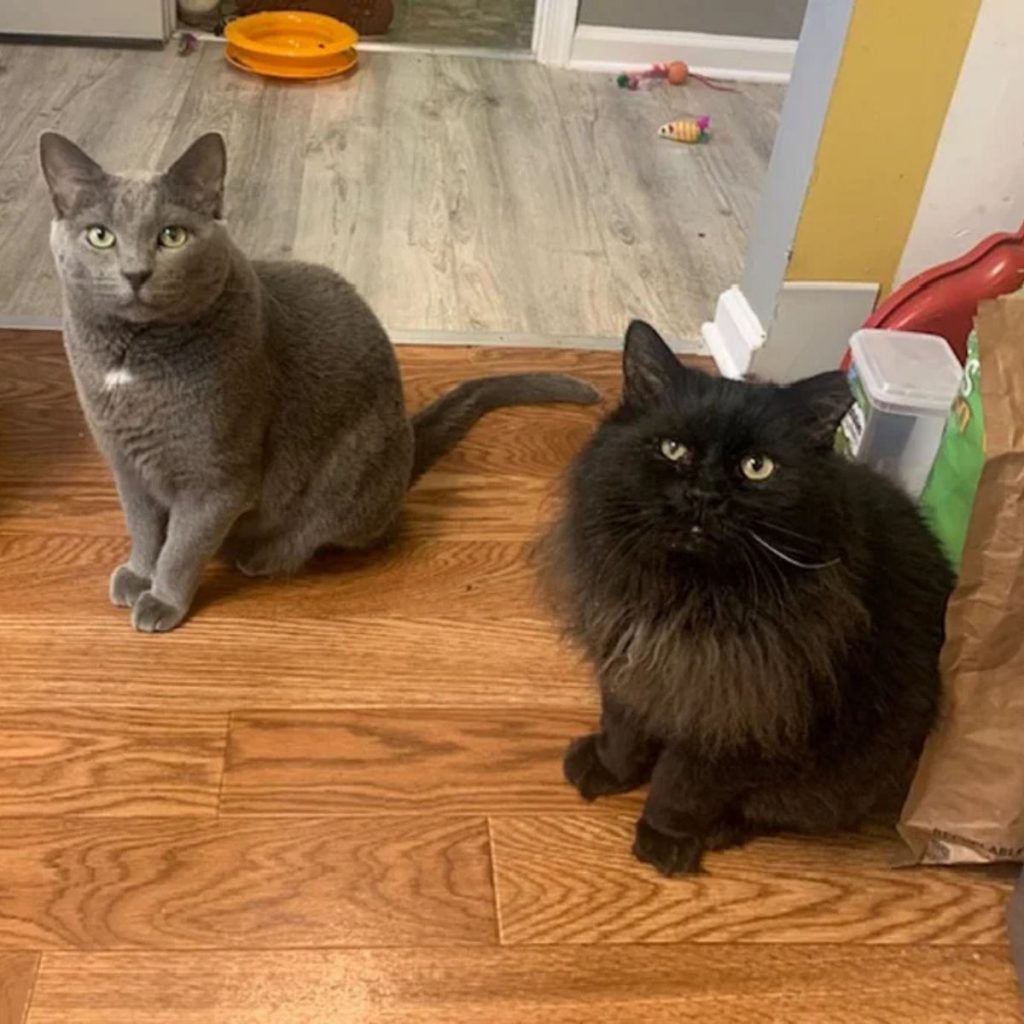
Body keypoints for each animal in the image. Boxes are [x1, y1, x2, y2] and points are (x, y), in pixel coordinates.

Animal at [39, 132, 598, 630]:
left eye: (171, 236)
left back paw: (263, 556)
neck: (133, 360)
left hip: (352, 471)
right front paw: (138, 574)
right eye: (100, 235)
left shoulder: (218, 479)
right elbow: (144, 528)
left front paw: (162, 600)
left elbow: (181, 545)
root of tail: (407, 437)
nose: (135, 272)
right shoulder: (125, 465)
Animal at [544, 317, 950, 872]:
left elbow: (681, 786)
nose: (705, 495)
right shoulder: (630, 665)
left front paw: (663, 840)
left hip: (840, 781)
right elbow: (623, 734)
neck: (688, 598)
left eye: (758, 467)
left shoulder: (739, 714)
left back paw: (717, 830)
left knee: (771, 811)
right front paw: (608, 771)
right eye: (674, 450)